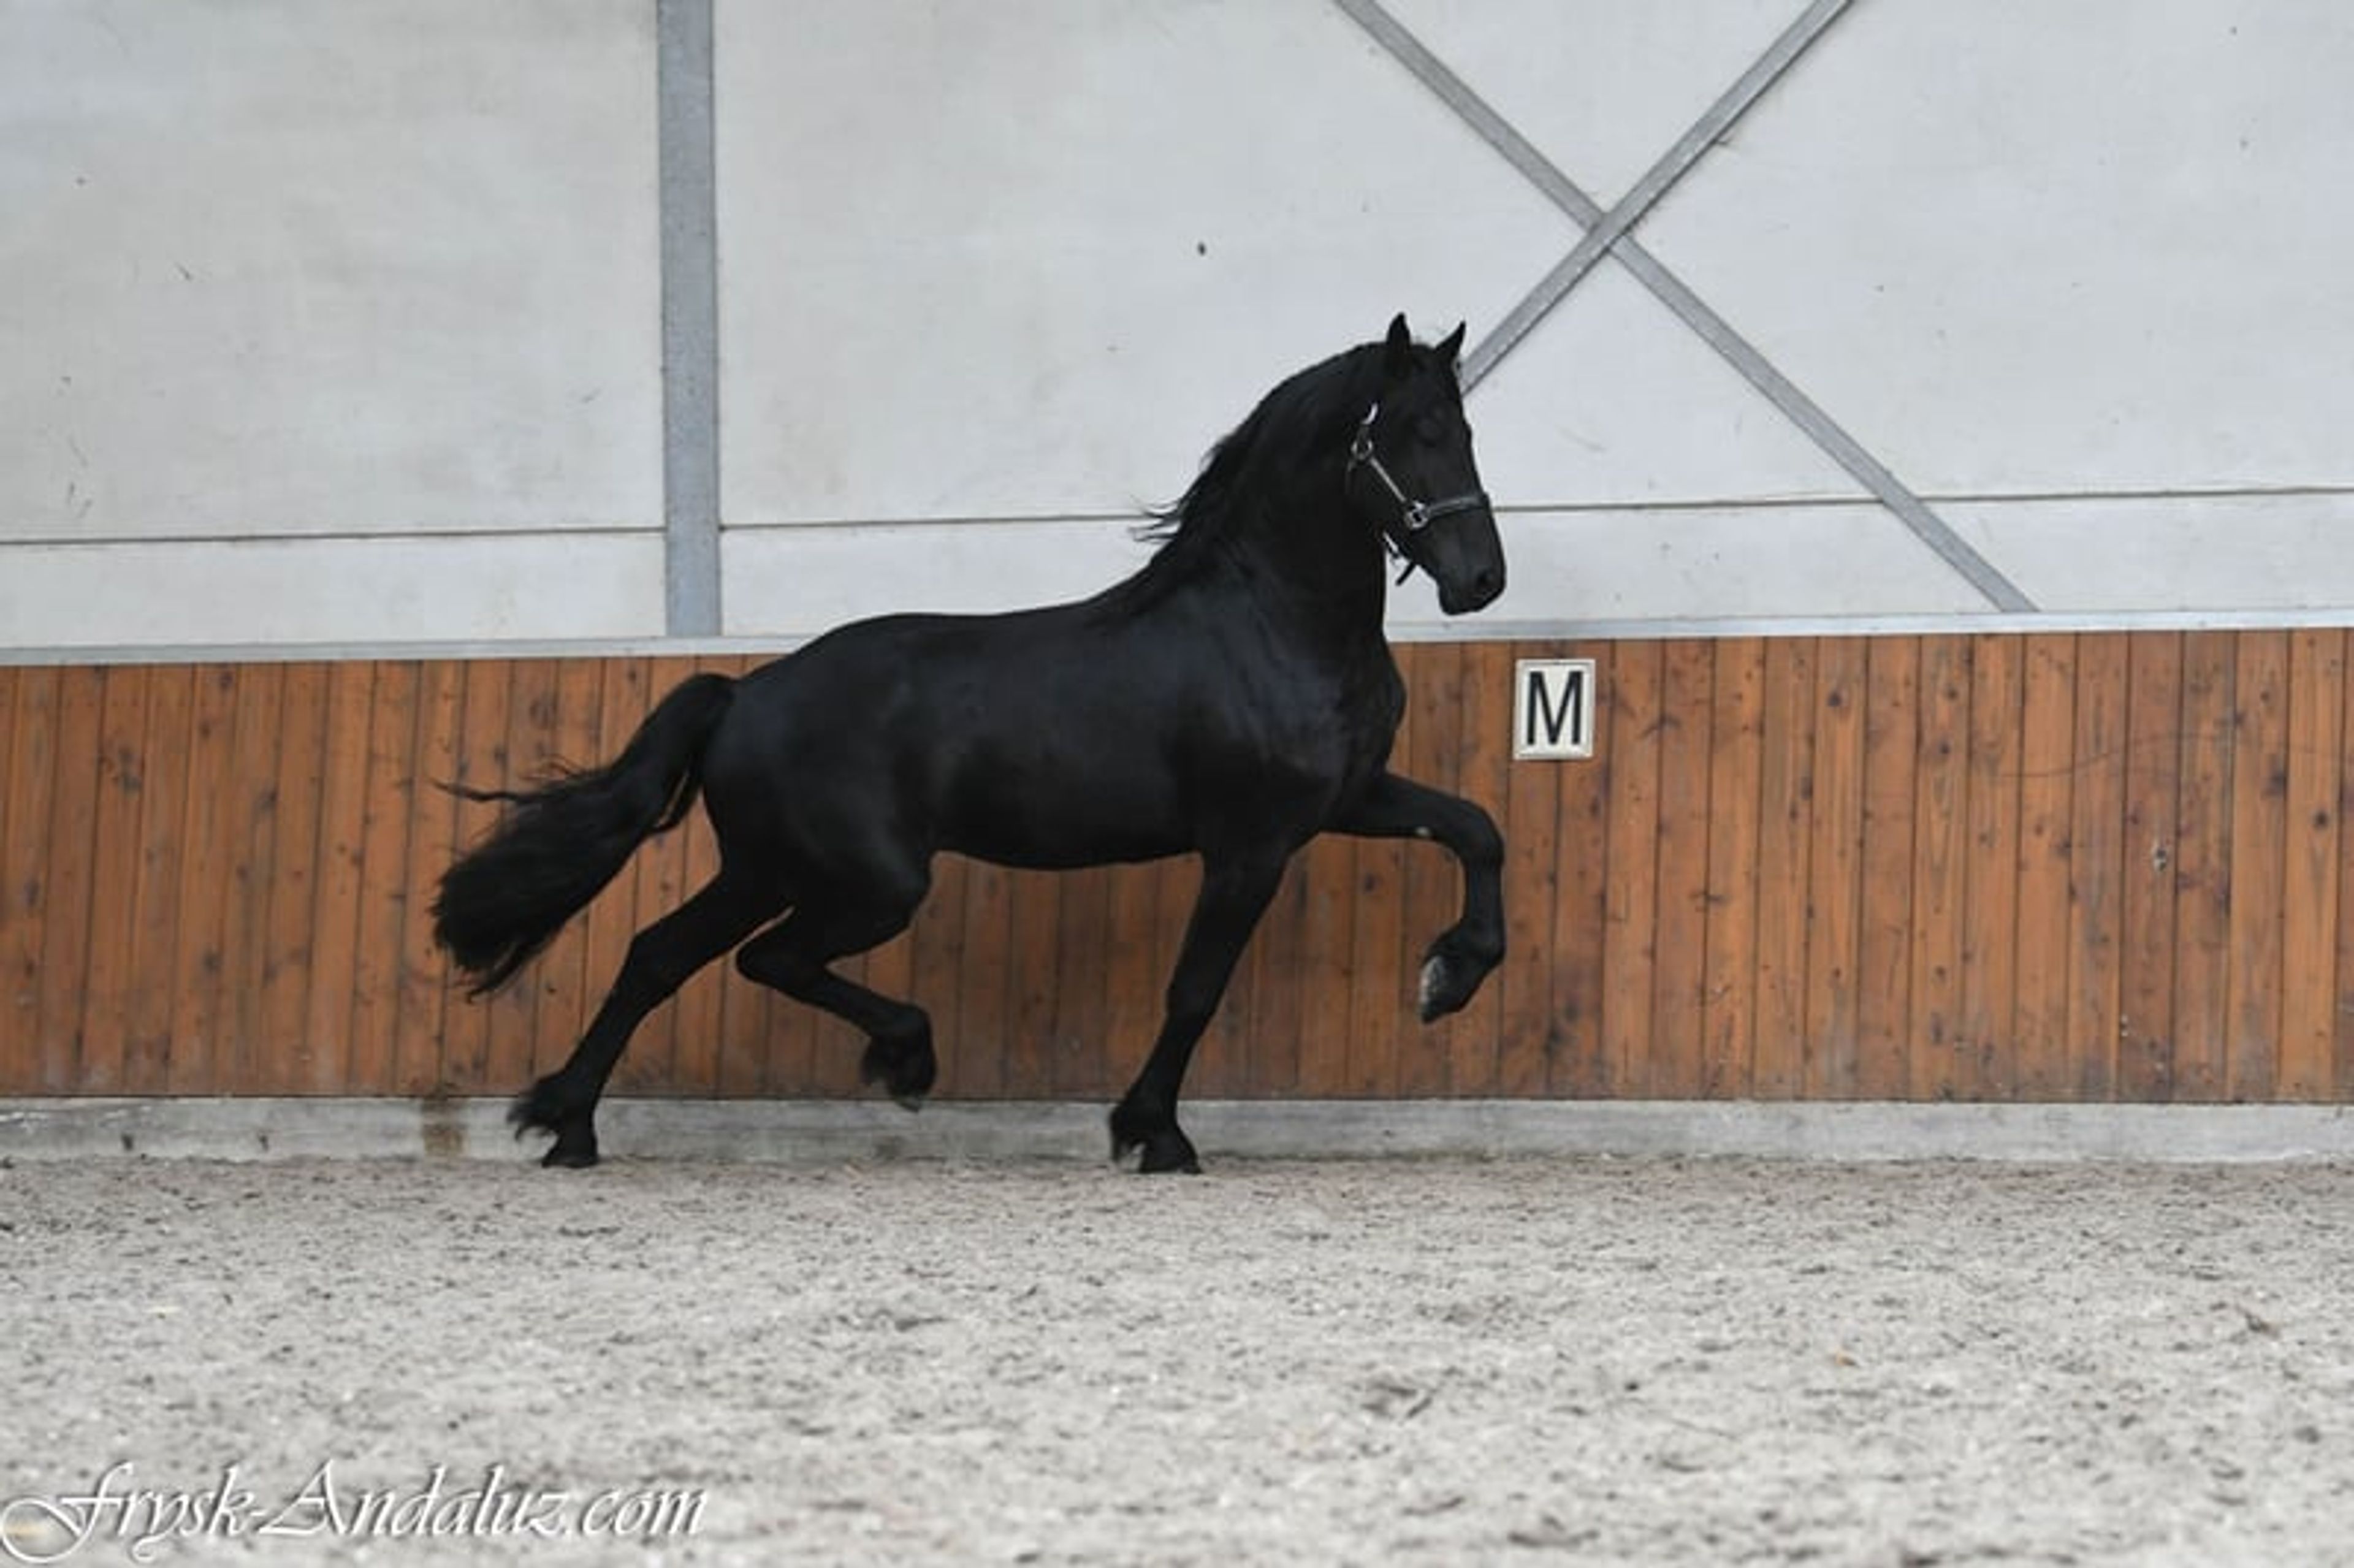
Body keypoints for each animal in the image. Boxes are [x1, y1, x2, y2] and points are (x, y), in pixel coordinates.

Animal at [432, 315, 1508, 1173]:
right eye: (1415, 433)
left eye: (1466, 433)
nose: (1480, 580)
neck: (1268, 620)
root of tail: (743, 694)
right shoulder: (1250, 844)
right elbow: (1195, 989)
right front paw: (1153, 1133)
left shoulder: (1349, 799)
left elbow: (1476, 830)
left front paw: (1450, 978)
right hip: (868, 884)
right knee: (765, 960)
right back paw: (905, 1056)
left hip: (768, 868)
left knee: (660, 955)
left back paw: (568, 1127)